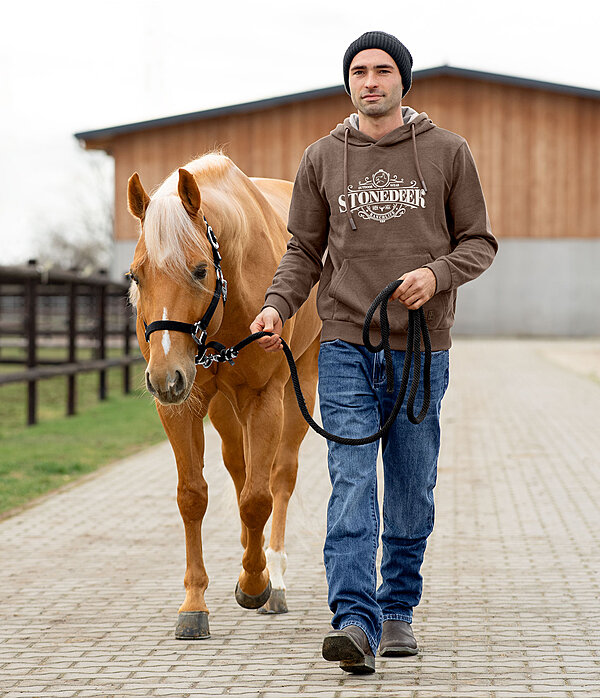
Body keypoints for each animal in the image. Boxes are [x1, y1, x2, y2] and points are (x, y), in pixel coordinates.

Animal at [127, 153, 324, 640]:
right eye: (136, 275)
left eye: (200, 269)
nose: (164, 376)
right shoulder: (184, 405)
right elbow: (193, 496)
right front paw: (194, 604)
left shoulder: (264, 396)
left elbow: (259, 499)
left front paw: (255, 584)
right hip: (221, 406)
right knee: (240, 469)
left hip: (300, 386)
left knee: (279, 476)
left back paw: (275, 577)